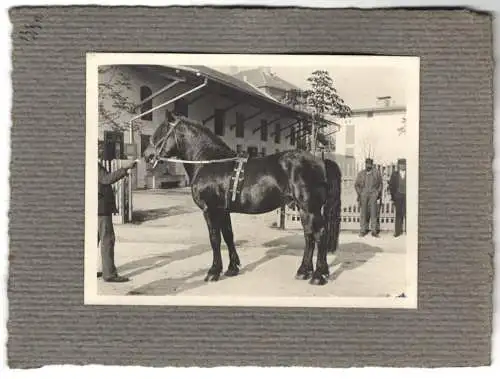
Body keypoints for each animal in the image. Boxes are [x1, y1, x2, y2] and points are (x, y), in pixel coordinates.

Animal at [143, 114, 342, 286]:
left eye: (162, 132)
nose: (147, 155)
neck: (209, 161)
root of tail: (321, 161)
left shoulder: (210, 210)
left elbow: (215, 239)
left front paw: (213, 272)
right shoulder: (223, 211)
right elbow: (228, 236)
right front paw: (232, 268)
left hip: (310, 208)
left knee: (319, 234)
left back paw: (318, 276)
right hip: (303, 209)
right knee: (309, 236)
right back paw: (303, 271)